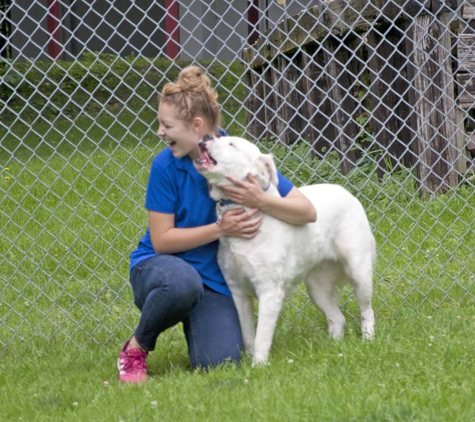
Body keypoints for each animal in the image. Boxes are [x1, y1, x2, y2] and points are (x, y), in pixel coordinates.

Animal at [193, 136, 376, 366]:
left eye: (232, 144)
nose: (206, 137)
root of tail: (347, 192)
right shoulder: (237, 291)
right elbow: (248, 335)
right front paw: (249, 364)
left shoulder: (269, 292)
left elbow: (261, 336)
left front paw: (258, 366)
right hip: (317, 286)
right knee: (338, 318)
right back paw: (333, 349)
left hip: (358, 272)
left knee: (367, 310)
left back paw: (368, 340)